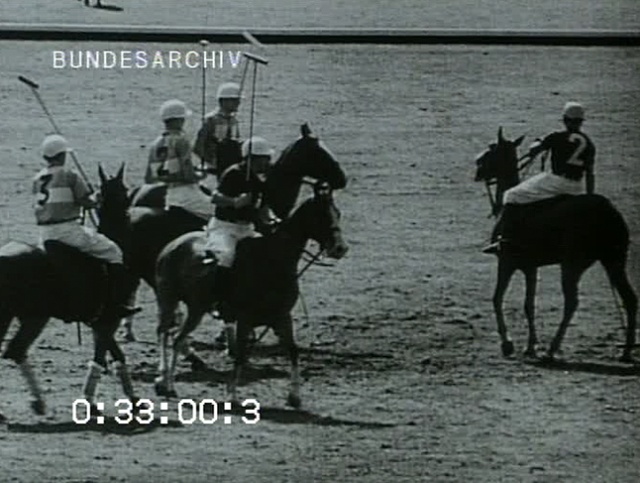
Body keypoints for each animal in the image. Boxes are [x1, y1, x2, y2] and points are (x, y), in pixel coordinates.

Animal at [0, 164, 142, 420]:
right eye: (125, 190)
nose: (130, 213)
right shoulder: (108, 320)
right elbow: (105, 356)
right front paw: (100, 400)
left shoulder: (98, 322)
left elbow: (113, 355)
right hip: (35, 316)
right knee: (16, 350)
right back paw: (38, 402)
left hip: (15, 315)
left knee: (15, 351)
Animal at [153, 182, 348, 408]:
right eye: (321, 215)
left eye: (338, 213)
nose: (340, 248)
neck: (273, 259)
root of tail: (170, 246)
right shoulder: (245, 319)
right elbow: (240, 354)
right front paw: (232, 396)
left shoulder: (282, 316)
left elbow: (293, 351)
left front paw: (294, 396)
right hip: (179, 303)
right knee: (171, 337)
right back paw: (167, 383)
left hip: (187, 305)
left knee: (171, 335)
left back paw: (164, 381)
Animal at [472, 129, 636, 364]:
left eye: (491, 148)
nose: (477, 165)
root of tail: (608, 212)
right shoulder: (530, 267)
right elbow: (529, 304)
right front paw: (530, 346)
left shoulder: (506, 261)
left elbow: (497, 299)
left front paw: (508, 344)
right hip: (614, 259)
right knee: (630, 298)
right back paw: (626, 352)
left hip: (572, 263)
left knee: (572, 302)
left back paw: (552, 349)